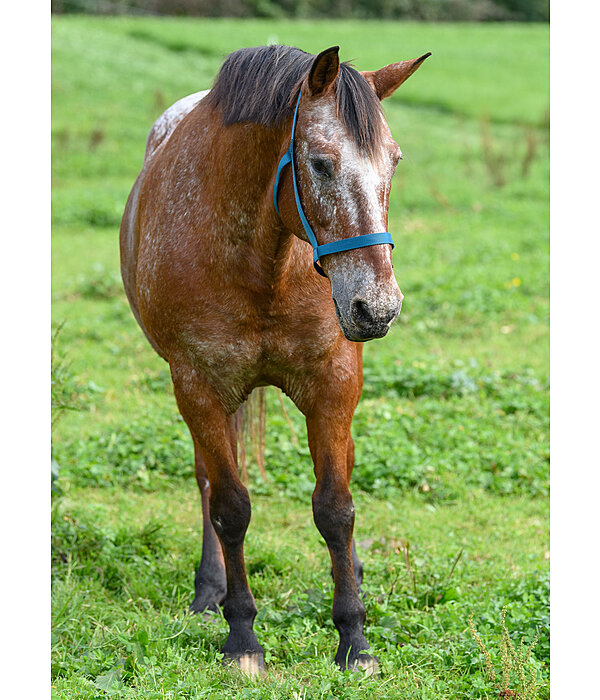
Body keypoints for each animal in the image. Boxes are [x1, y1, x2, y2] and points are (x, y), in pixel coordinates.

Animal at [120, 42, 432, 672]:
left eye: (393, 162)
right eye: (320, 164)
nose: (378, 307)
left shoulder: (333, 385)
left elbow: (336, 508)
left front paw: (354, 640)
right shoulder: (200, 389)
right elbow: (230, 507)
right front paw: (242, 637)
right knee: (208, 483)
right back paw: (210, 590)